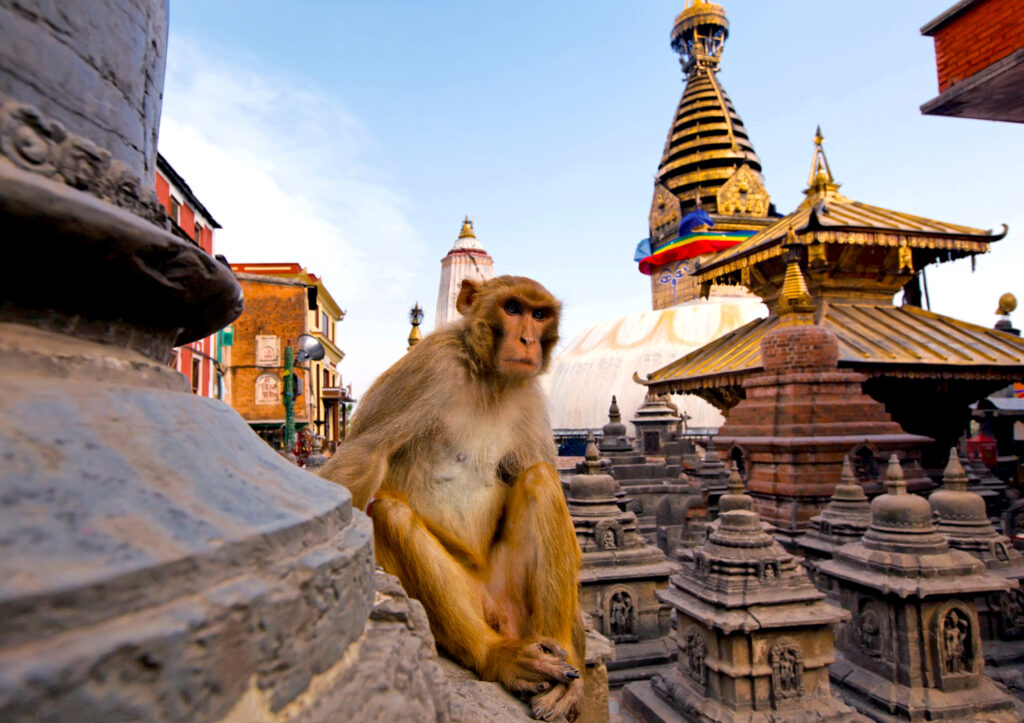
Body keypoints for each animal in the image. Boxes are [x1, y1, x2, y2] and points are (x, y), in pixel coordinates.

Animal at [320, 275, 585, 721]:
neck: (488, 376)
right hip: (470, 600)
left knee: (540, 478)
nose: (528, 339)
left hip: (516, 599)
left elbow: (537, 471)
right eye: (512, 309)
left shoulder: (530, 396)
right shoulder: (430, 366)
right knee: (389, 513)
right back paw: (497, 656)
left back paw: (560, 654)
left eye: (539, 313)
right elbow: (366, 454)